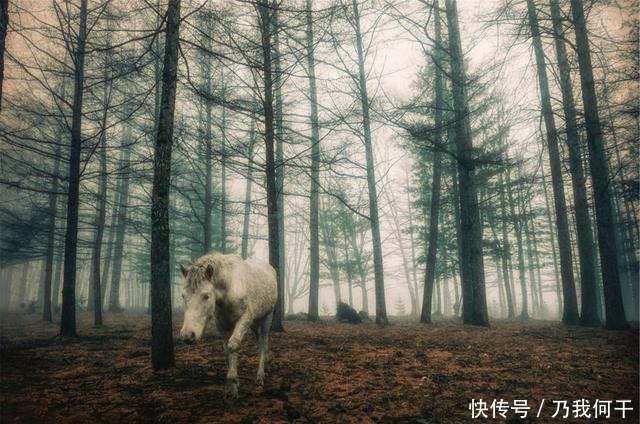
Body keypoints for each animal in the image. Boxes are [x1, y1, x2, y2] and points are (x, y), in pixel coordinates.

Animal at [179, 253, 278, 399]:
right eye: (183, 296)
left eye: (206, 296)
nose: (187, 335)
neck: (230, 288)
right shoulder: (222, 325)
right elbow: (226, 351)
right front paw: (234, 383)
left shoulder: (245, 319)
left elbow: (233, 346)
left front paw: (232, 385)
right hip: (255, 322)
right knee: (259, 340)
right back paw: (267, 363)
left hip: (267, 316)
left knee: (263, 341)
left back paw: (260, 376)